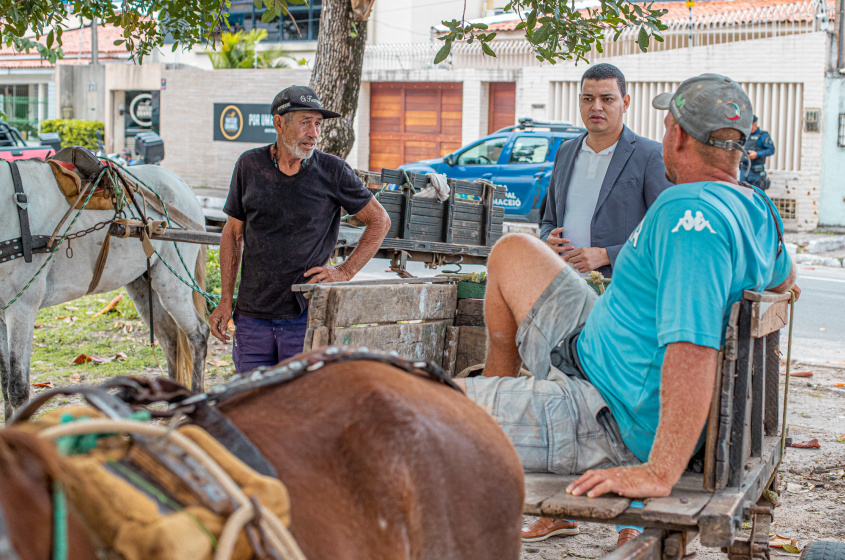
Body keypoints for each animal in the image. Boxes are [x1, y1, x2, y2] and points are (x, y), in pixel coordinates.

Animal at [0, 160, 209, 418]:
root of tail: (180, 184)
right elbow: (5, 385)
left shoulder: (22, 309)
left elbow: (17, 389)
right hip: (143, 285)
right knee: (170, 340)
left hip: (173, 283)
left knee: (198, 334)